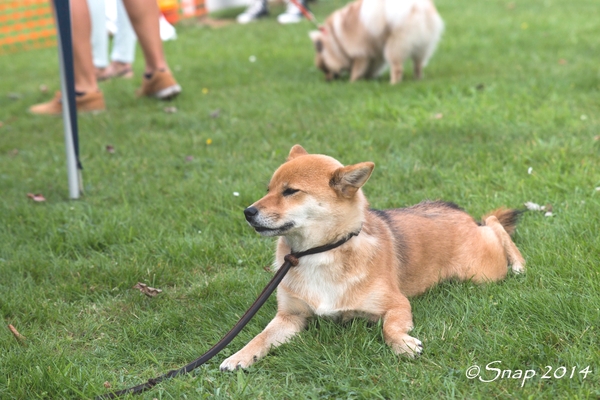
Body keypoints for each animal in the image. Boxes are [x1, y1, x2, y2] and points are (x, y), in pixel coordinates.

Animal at [218, 145, 524, 370]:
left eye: (290, 191)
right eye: (268, 189)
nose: (248, 212)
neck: (319, 252)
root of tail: (455, 211)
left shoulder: (397, 304)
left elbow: (389, 328)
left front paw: (402, 344)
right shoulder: (290, 317)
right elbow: (261, 336)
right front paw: (239, 355)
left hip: (482, 272)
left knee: (493, 223)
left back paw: (519, 264)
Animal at [312, 0, 442, 83]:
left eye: (326, 69)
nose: (327, 80)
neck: (336, 40)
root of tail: (417, 6)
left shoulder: (359, 53)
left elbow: (356, 69)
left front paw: (352, 81)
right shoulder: (374, 52)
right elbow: (371, 66)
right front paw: (367, 77)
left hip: (394, 47)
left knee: (397, 68)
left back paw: (393, 83)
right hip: (422, 47)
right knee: (418, 65)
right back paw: (417, 79)